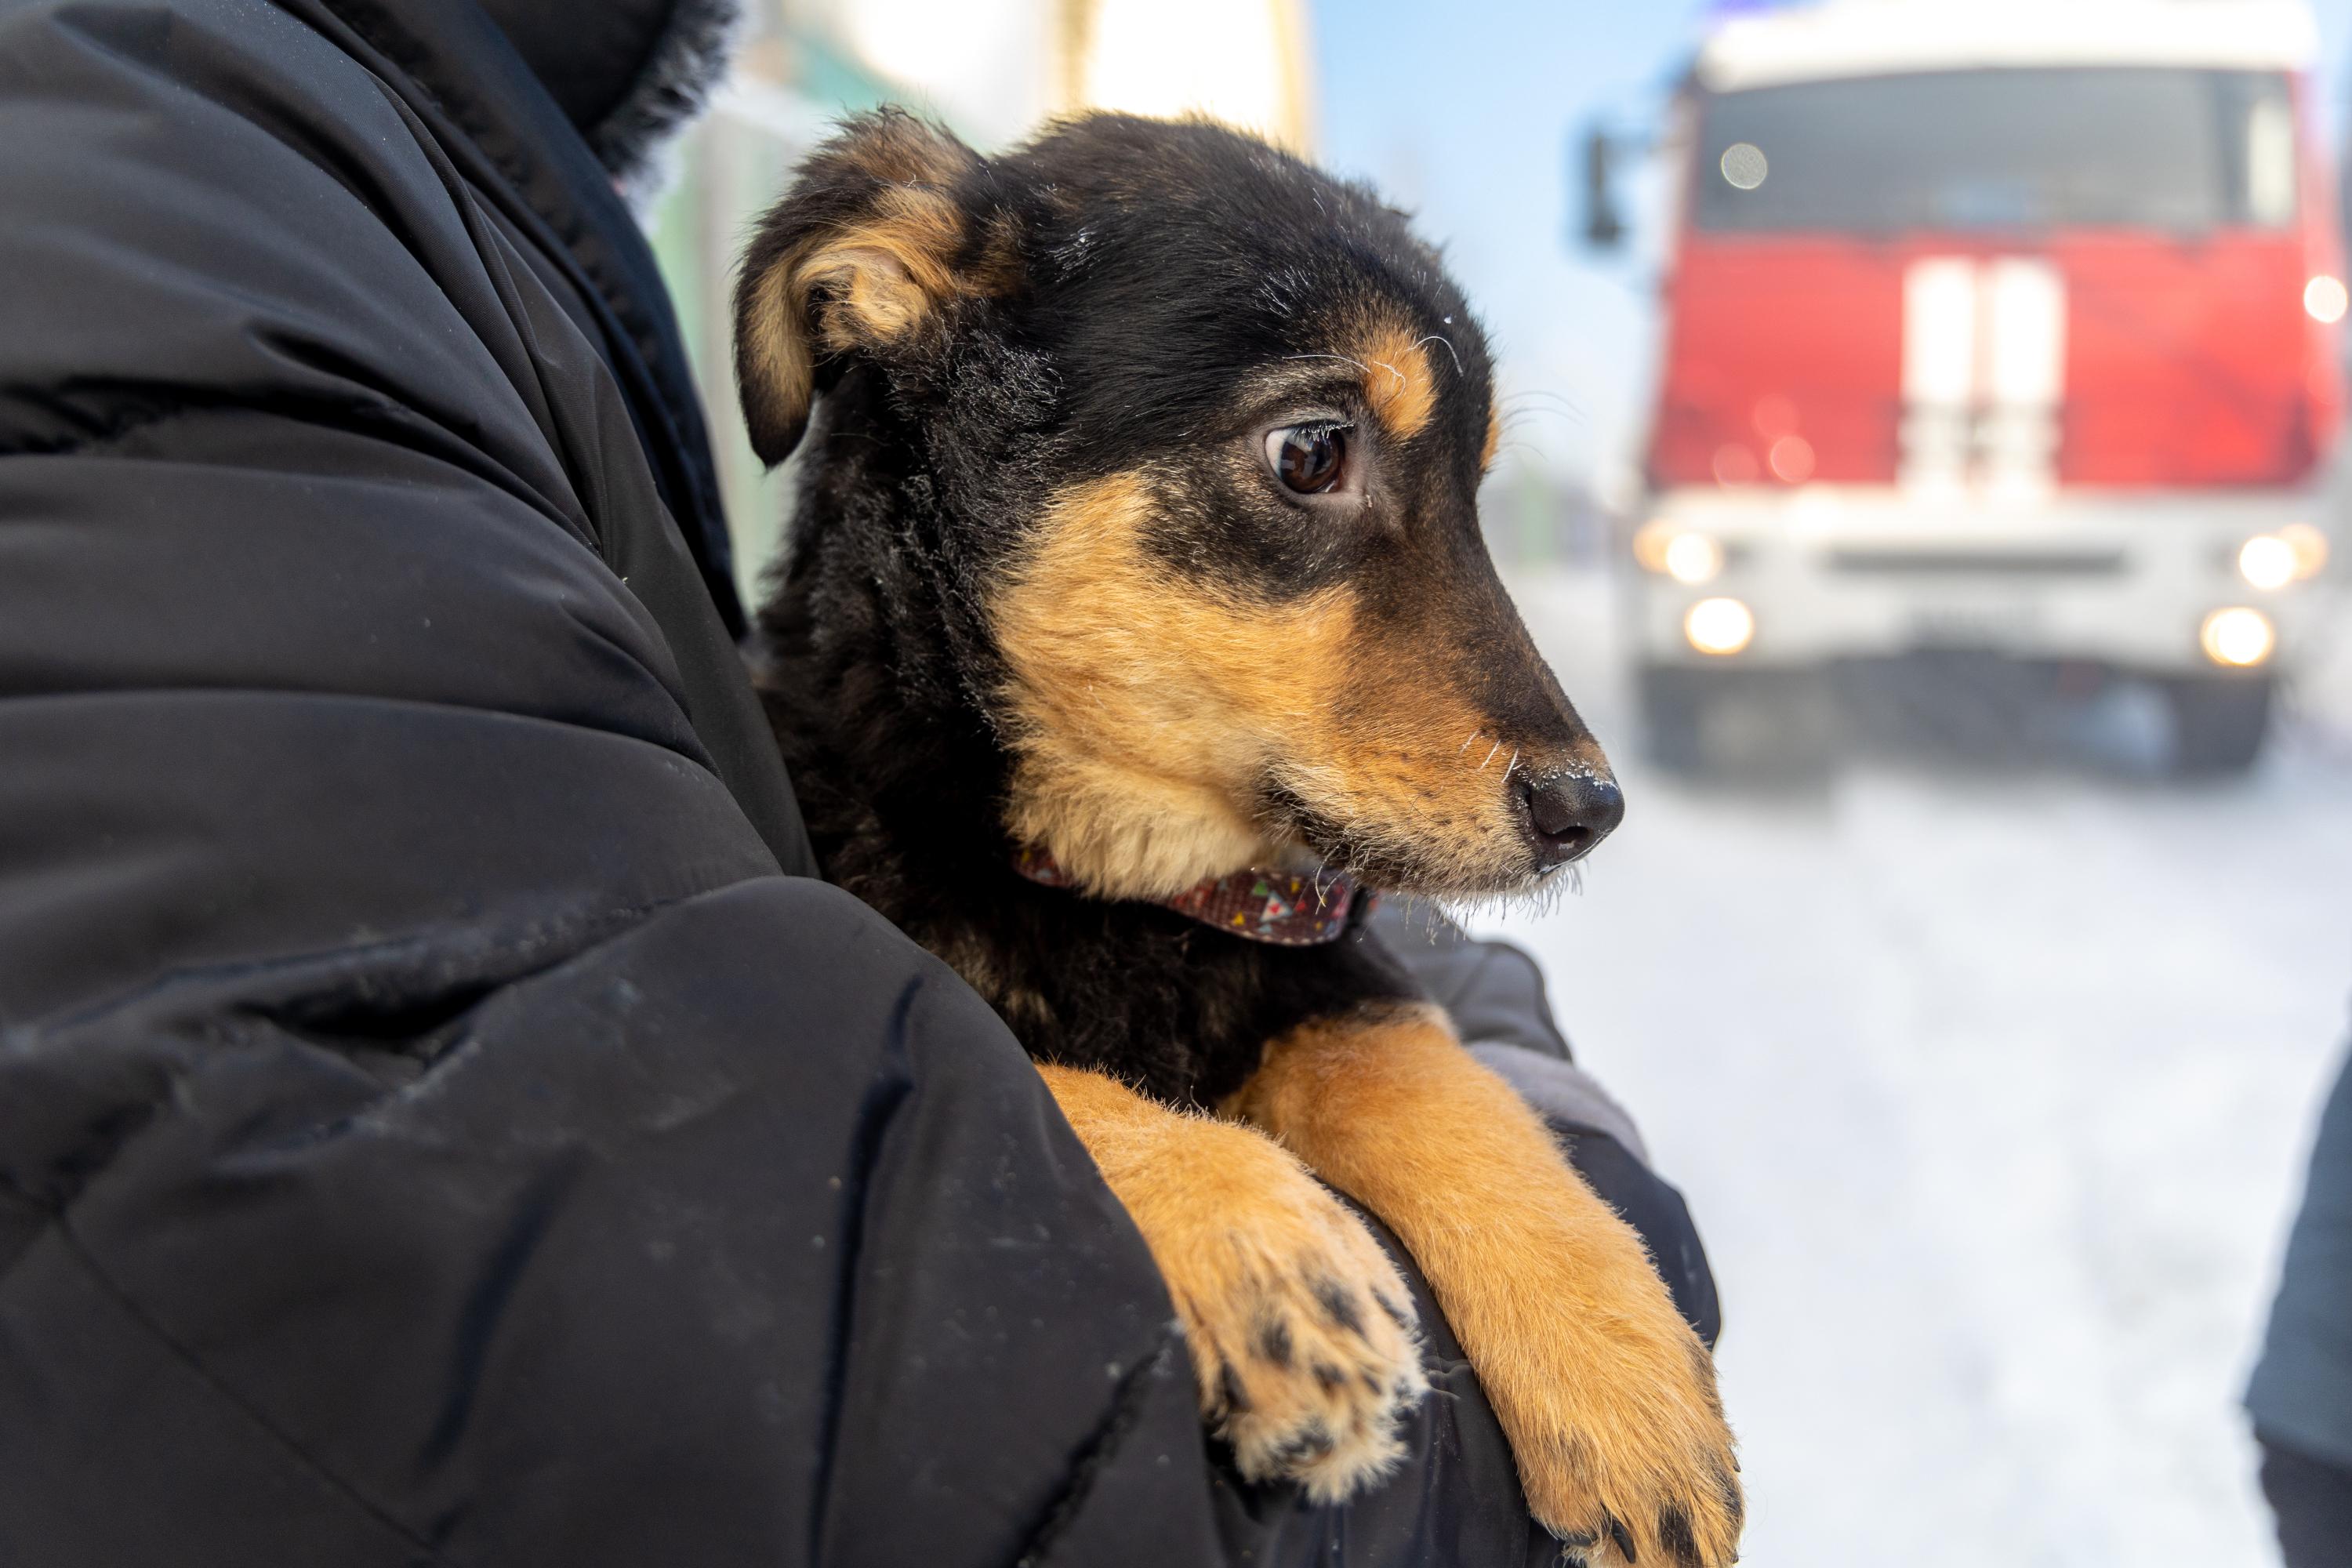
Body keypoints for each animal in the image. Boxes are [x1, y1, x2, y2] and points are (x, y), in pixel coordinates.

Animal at [734, 113, 1750, 1568]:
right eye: (1312, 452)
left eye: (1477, 490)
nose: (1588, 811)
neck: (1126, 890)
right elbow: (1017, 1057)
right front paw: (1264, 1254)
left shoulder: (1330, 961)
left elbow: (1432, 1077)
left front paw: (1627, 1378)